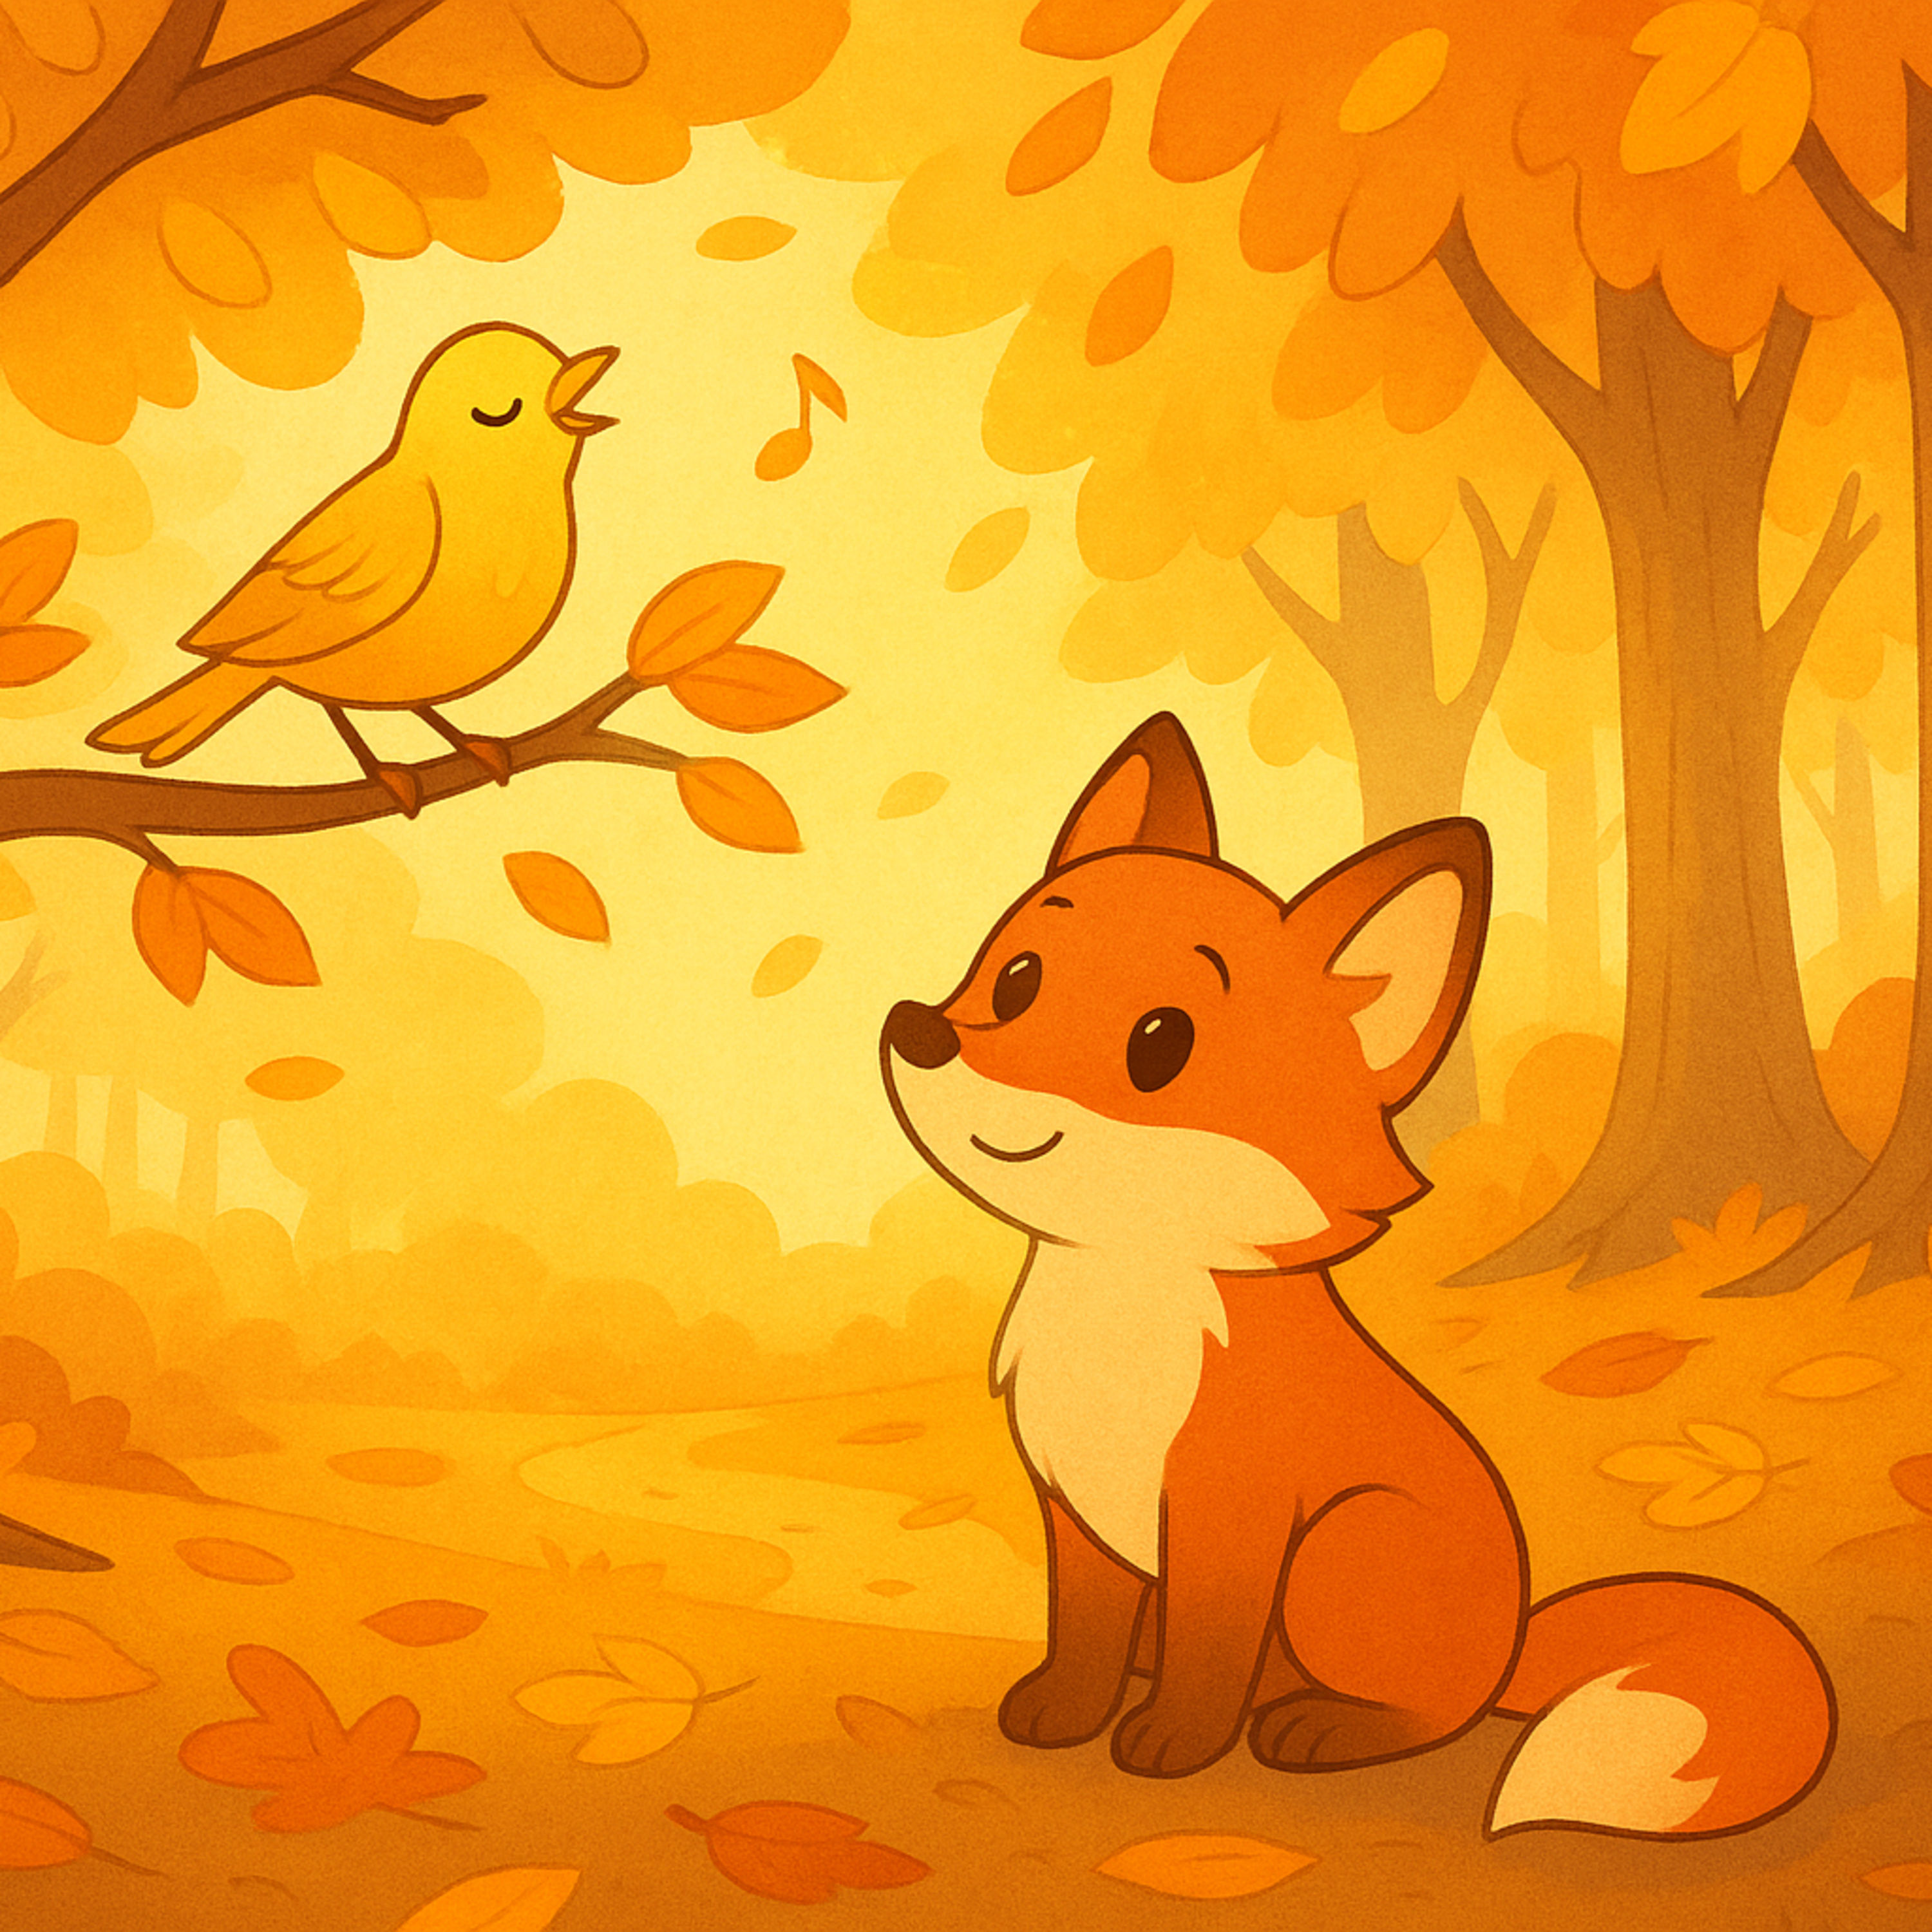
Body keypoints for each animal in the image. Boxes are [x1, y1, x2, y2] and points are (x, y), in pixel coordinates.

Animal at [879, 712, 1834, 1839]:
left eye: (1159, 1045)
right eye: (1017, 976)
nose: (920, 1033)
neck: (1121, 1299)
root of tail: (1514, 1641)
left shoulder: (1232, 1524)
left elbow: (1209, 1651)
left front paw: (1175, 1744)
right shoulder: (1075, 1513)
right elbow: (1083, 1634)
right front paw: (1066, 1711)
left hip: (1343, 1549)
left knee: (1429, 1712)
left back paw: (1321, 1726)